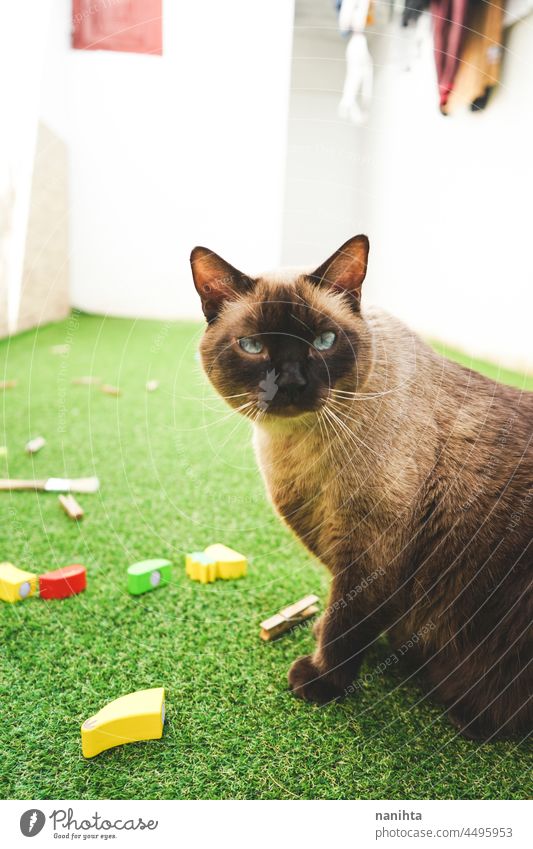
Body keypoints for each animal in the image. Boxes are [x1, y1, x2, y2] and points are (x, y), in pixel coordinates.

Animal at [191, 235, 532, 740]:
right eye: (252, 347)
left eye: (323, 342)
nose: (291, 383)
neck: (293, 448)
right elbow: (341, 619)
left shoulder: (370, 555)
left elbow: (345, 627)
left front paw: (319, 681)